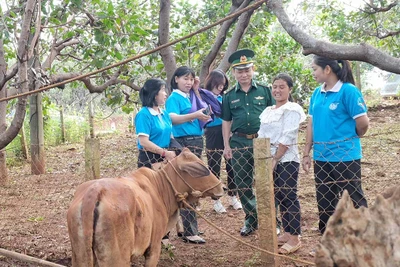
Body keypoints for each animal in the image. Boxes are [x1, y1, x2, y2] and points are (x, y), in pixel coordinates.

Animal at [67, 149, 227, 267]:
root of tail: (94, 191)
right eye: (202, 168)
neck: (161, 187)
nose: (222, 187)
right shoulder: (154, 247)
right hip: (116, 259)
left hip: (80, 257)